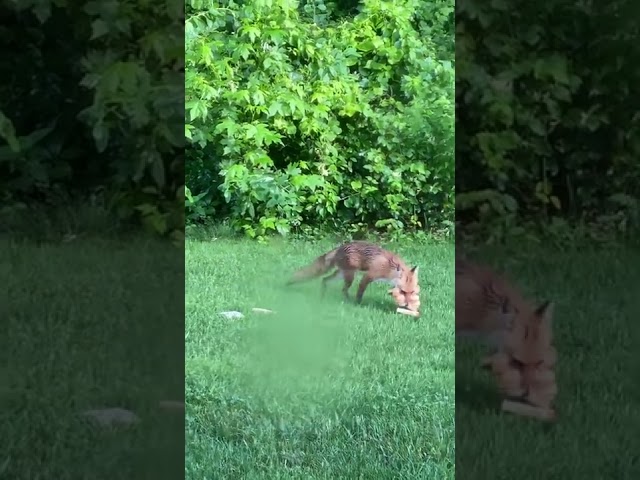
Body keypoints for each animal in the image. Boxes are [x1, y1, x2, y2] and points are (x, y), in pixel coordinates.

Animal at [286, 240, 420, 308]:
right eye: (403, 291)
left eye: (411, 292)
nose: (407, 305)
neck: (389, 268)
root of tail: (339, 248)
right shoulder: (368, 276)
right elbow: (360, 292)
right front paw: (358, 304)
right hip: (350, 275)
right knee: (343, 289)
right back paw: (347, 302)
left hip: (341, 274)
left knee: (324, 280)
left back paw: (322, 297)